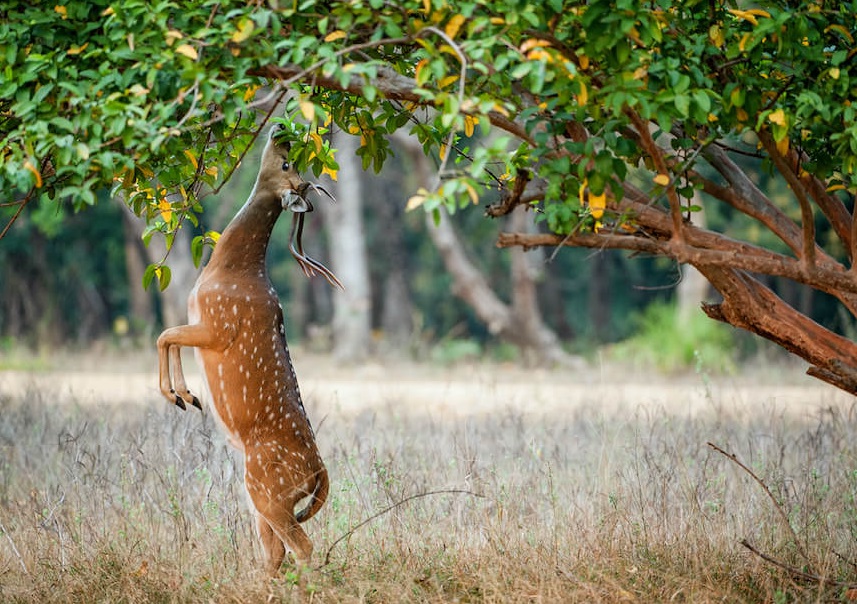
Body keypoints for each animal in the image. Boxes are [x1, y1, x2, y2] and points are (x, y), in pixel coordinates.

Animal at [157, 125, 338, 580]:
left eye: (287, 163)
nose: (281, 129)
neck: (230, 270)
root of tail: (319, 473)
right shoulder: (201, 322)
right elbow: (169, 336)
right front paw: (187, 395)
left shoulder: (219, 325)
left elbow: (165, 335)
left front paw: (178, 395)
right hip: (267, 498)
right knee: (275, 551)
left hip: (266, 487)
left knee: (302, 547)